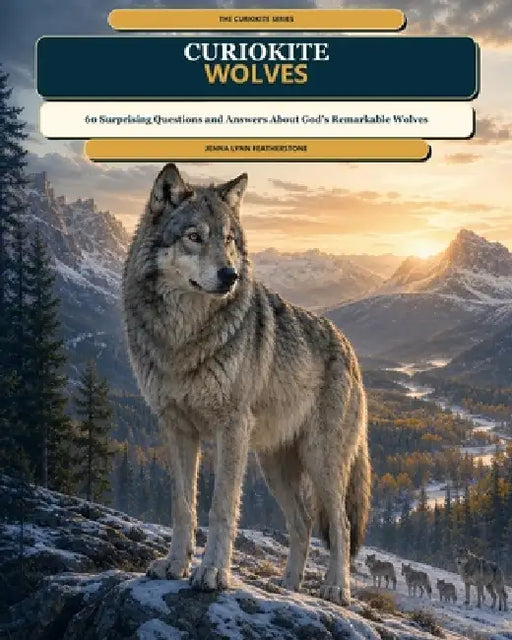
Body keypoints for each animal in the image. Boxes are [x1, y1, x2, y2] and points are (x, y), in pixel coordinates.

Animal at [122, 164, 371, 605]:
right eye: (194, 236)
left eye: (229, 240)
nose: (230, 275)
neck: (183, 336)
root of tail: (349, 347)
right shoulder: (175, 427)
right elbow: (183, 504)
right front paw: (174, 565)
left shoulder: (231, 428)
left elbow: (222, 507)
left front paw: (212, 573)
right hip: (274, 466)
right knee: (303, 524)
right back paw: (288, 587)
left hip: (320, 460)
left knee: (339, 524)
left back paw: (336, 588)